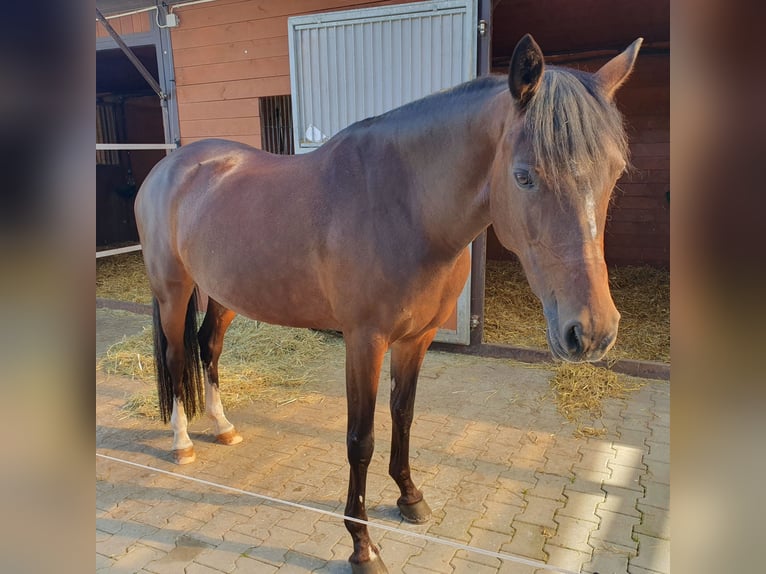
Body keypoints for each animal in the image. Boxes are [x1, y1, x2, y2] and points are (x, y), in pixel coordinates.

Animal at [136, 35, 640, 574]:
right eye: (524, 176)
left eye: (615, 173)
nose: (592, 331)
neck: (405, 207)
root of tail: (168, 167)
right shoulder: (364, 342)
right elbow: (361, 440)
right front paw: (362, 545)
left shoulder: (416, 339)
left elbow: (404, 414)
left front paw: (410, 497)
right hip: (173, 290)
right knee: (175, 356)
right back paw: (182, 442)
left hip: (223, 292)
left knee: (208, 348)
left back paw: (223, 426)